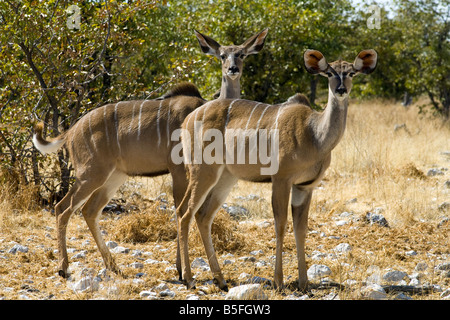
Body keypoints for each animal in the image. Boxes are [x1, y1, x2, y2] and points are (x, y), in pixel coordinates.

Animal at [33, 28, 268, 278]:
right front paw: (181, 271)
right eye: (222, 55)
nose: (232, 69)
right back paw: (63, 267)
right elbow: (180, 209)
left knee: (89, 210)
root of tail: (70, 131)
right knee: (62, 208)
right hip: (91, 173)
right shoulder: (178, 170)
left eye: (242, 54)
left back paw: (113, 266)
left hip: (114, 176)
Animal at [176, 49, 376, 290]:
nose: (340, 90)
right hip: (203, 171)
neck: (314, 134)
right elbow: (280, 224)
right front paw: (279, 281)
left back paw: (220, 280)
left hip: (225, 178)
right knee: (184, 213)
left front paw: (304, 283)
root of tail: (187, 120)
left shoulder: (305, 187)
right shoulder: (281, 179)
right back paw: (189, 278)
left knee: (203, 216)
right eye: (329, 73)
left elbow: (301, 228)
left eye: (352, 73)